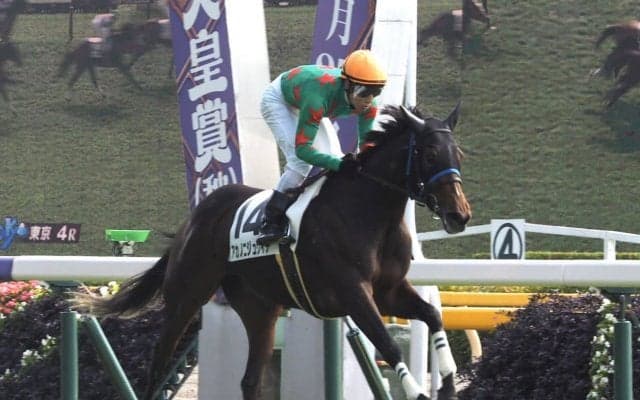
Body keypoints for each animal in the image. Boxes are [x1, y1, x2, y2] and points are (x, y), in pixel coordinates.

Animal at [72, 104, 472, 400]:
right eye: (430, 153)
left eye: (458, 153)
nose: (460, 214)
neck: (369, 212)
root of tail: (195, 218)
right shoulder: (353, 293)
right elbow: (389, 345)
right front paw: (421, 392)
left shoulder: (388, 291)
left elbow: (433, 318)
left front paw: (449, 386)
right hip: (187, 295)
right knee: (159, 358)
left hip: (259, 308)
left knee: (250, 379)